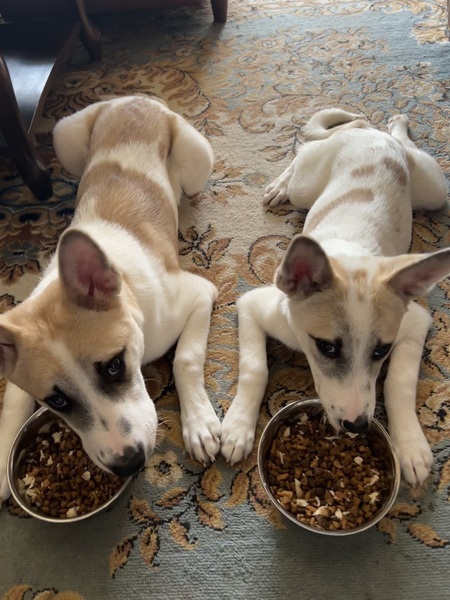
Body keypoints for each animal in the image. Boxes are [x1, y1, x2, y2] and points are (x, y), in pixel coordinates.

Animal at [0, 96, 221, 503]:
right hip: (65, 139)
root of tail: (135, 99)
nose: (128, 463)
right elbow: (14, 399)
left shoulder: (201, 293)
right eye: (57, 402)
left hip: (198, 157)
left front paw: (199, 425)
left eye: (115, 366)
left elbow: (185, 358)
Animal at [221, 107, 450, 486]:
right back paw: (281, 184)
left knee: (383, 135)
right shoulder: (253, 305)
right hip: (308, 186)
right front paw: (237, 427)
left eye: (381, 351)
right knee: (305, 152)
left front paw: (411, 445)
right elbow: (255, 367)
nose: (356, 426)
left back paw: (396, 124)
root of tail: (372, 138)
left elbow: (400, 382)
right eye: (326, 347)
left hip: (433, 188)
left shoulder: (415, 321)